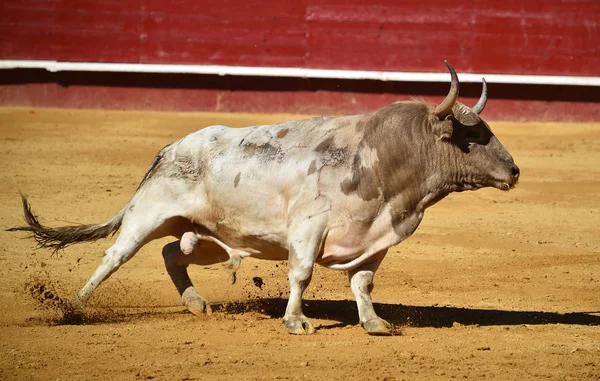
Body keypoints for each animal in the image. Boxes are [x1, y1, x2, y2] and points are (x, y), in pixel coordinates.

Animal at [7, 62, 516, 336]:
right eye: (472, 137)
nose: (514, 171)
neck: (385, 161)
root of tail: (168, 149)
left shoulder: (375, 238)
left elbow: (363, 283)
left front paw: (374, 324)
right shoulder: (309, 228)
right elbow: (302, 274)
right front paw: (296, 322)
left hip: (209, 237)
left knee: (174, 253)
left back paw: (195, 303)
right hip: (147, 215)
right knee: (115, 256)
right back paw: (74, 308)